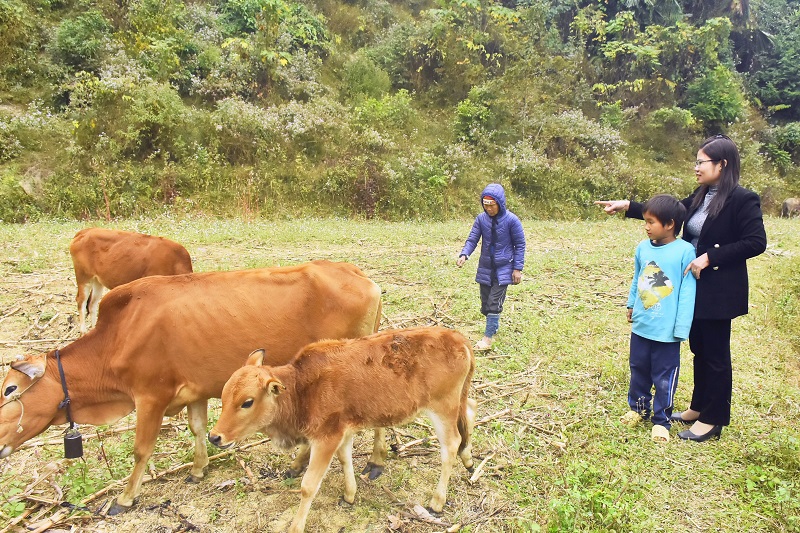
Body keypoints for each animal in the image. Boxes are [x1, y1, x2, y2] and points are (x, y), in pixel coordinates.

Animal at [0, 260, 384, 512]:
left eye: (9, 390)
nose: (0, 443)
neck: (118, 336)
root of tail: (360, 275)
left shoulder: (150, 397)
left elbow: (142, 449)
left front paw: (126, 497)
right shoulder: (195, 391)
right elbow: (198, 429)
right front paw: (199, 469)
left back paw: (374, 460)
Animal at [209, 324, 478, 532]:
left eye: (247, 402)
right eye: (223, 396)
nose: (214, 437)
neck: (301, 389)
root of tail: (459, 339)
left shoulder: (325, 438)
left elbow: (308, 486)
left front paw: (296, 526)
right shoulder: (341, 431)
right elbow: (345, 459)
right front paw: (350, 495)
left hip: (442, 407)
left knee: (451, 444)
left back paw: (437, 501)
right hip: (457, 401)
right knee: (471, 411)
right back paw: (468, 460)